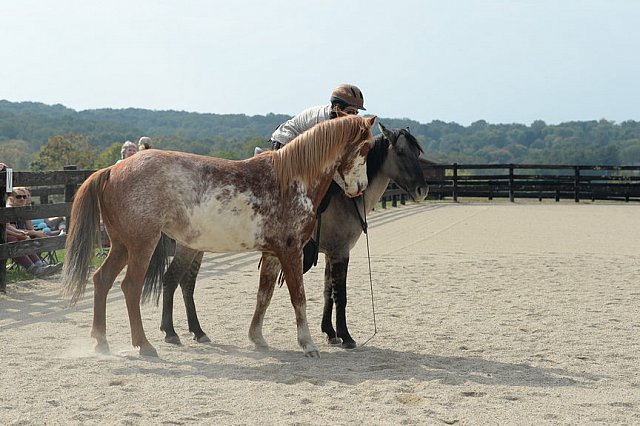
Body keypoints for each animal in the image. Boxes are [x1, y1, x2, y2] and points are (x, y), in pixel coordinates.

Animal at [61, 115, 376, 358]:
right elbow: (298, 298)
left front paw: (257, 338)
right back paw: (145, 345)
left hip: (121, 246)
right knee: (130, 288)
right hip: (141, 245)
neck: (291, 179)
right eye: (365, 147)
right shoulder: (290, 251)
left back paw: (102, 342)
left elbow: (264, 296)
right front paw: (308, 344)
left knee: (102, 280)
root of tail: (113, 169)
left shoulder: (272, 253)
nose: (360, 187)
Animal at [152, 121, 428, 348]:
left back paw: (197, 331)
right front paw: (345, 336)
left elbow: (327, 292)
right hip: (189, 246)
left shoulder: (329, 254)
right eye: (401, 152)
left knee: (185, 284)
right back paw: (171, 332)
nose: (422, 190)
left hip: (195, 246)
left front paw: (330, 333)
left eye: (417, 153)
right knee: (173, 280)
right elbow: (340, 294)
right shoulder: (339, 252)